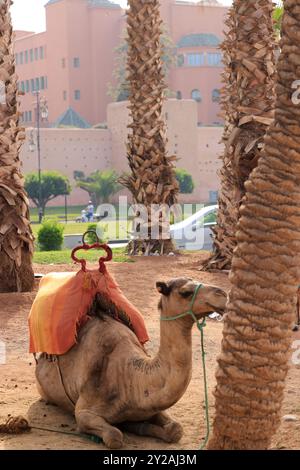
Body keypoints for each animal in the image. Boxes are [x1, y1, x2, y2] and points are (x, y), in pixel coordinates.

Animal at [35, 278, 226, 450]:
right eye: (185, 292)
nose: (223, 294)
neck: (130, 379)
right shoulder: (84, 411)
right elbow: (114, 436)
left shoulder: (150, 407)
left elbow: (175, 429)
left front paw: (139, 426)